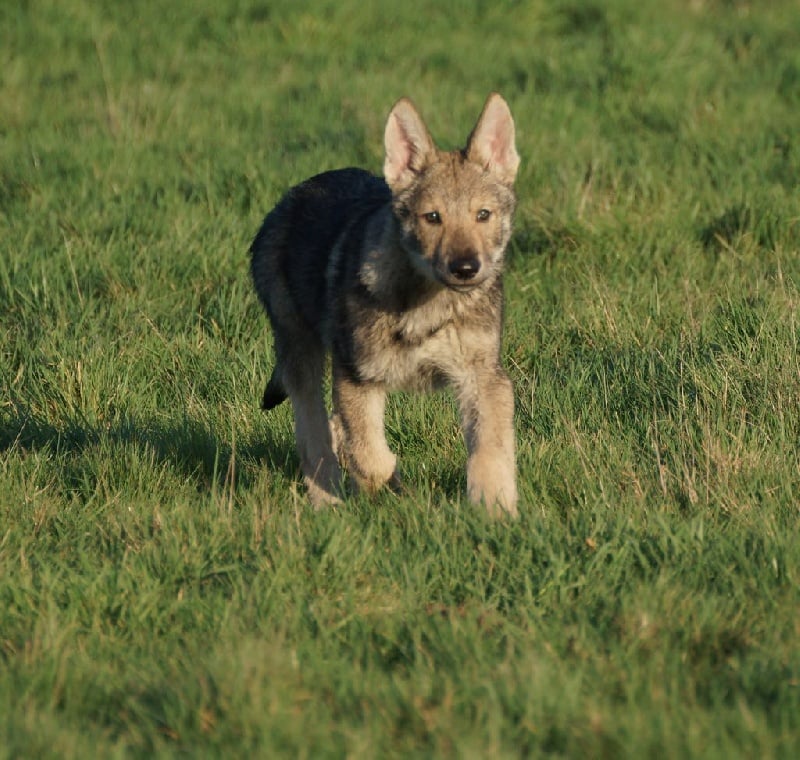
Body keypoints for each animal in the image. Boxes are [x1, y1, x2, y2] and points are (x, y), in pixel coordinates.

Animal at [250, 92, 520, 517]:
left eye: (483, 215)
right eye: (432, 218)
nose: (465, 268)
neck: (428, 305)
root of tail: (289, 198)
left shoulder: (484, 377)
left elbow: (489, 449)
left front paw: (495, 509)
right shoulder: (358, 377)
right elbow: (372, 458)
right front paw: (395, 488)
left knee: (331, 427)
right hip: (301, 355)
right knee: (315, 437)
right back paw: (328, 502)